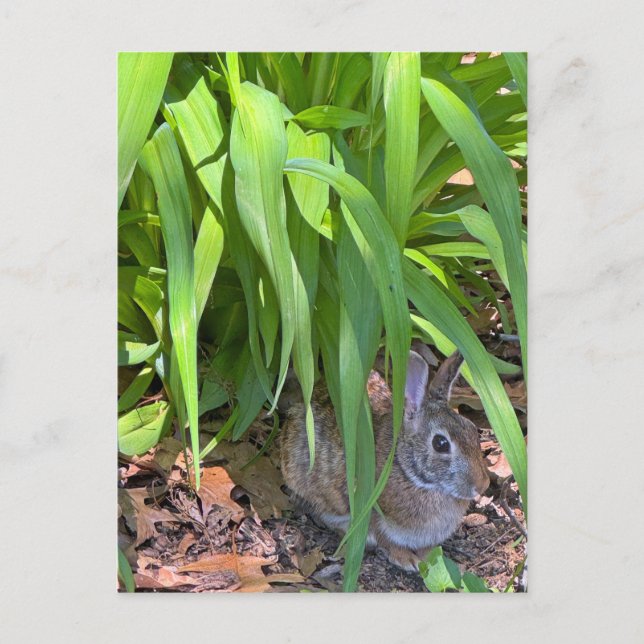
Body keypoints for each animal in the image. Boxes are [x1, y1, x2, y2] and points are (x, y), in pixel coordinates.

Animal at [280, 349, 490, 571]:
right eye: (440, 443)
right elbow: (384, 539)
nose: (483, 485)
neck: (408, 471)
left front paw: (434, 559)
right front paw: (406, 560)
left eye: (472, 429)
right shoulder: (370, 511)